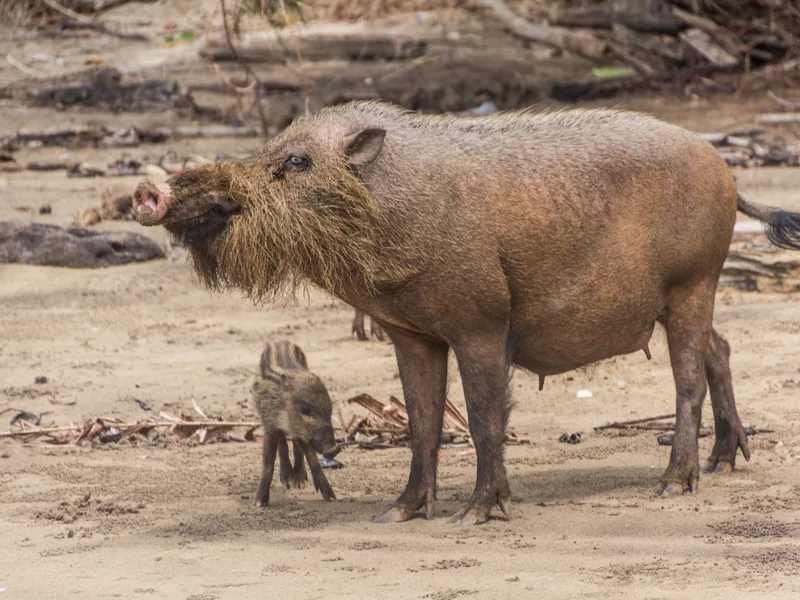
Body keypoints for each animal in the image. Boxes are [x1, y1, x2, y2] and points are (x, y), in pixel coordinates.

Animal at [251, 340, 338, 507]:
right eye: (305, 409)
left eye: (330, 410)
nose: (332, 449)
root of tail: (281, 341)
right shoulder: (269, 425)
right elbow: (268, 464)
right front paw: (258, 503)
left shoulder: (303, 433)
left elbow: (312, 458)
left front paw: (331, 497)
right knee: (283, 443)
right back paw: (288, 480)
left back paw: (298, 481)